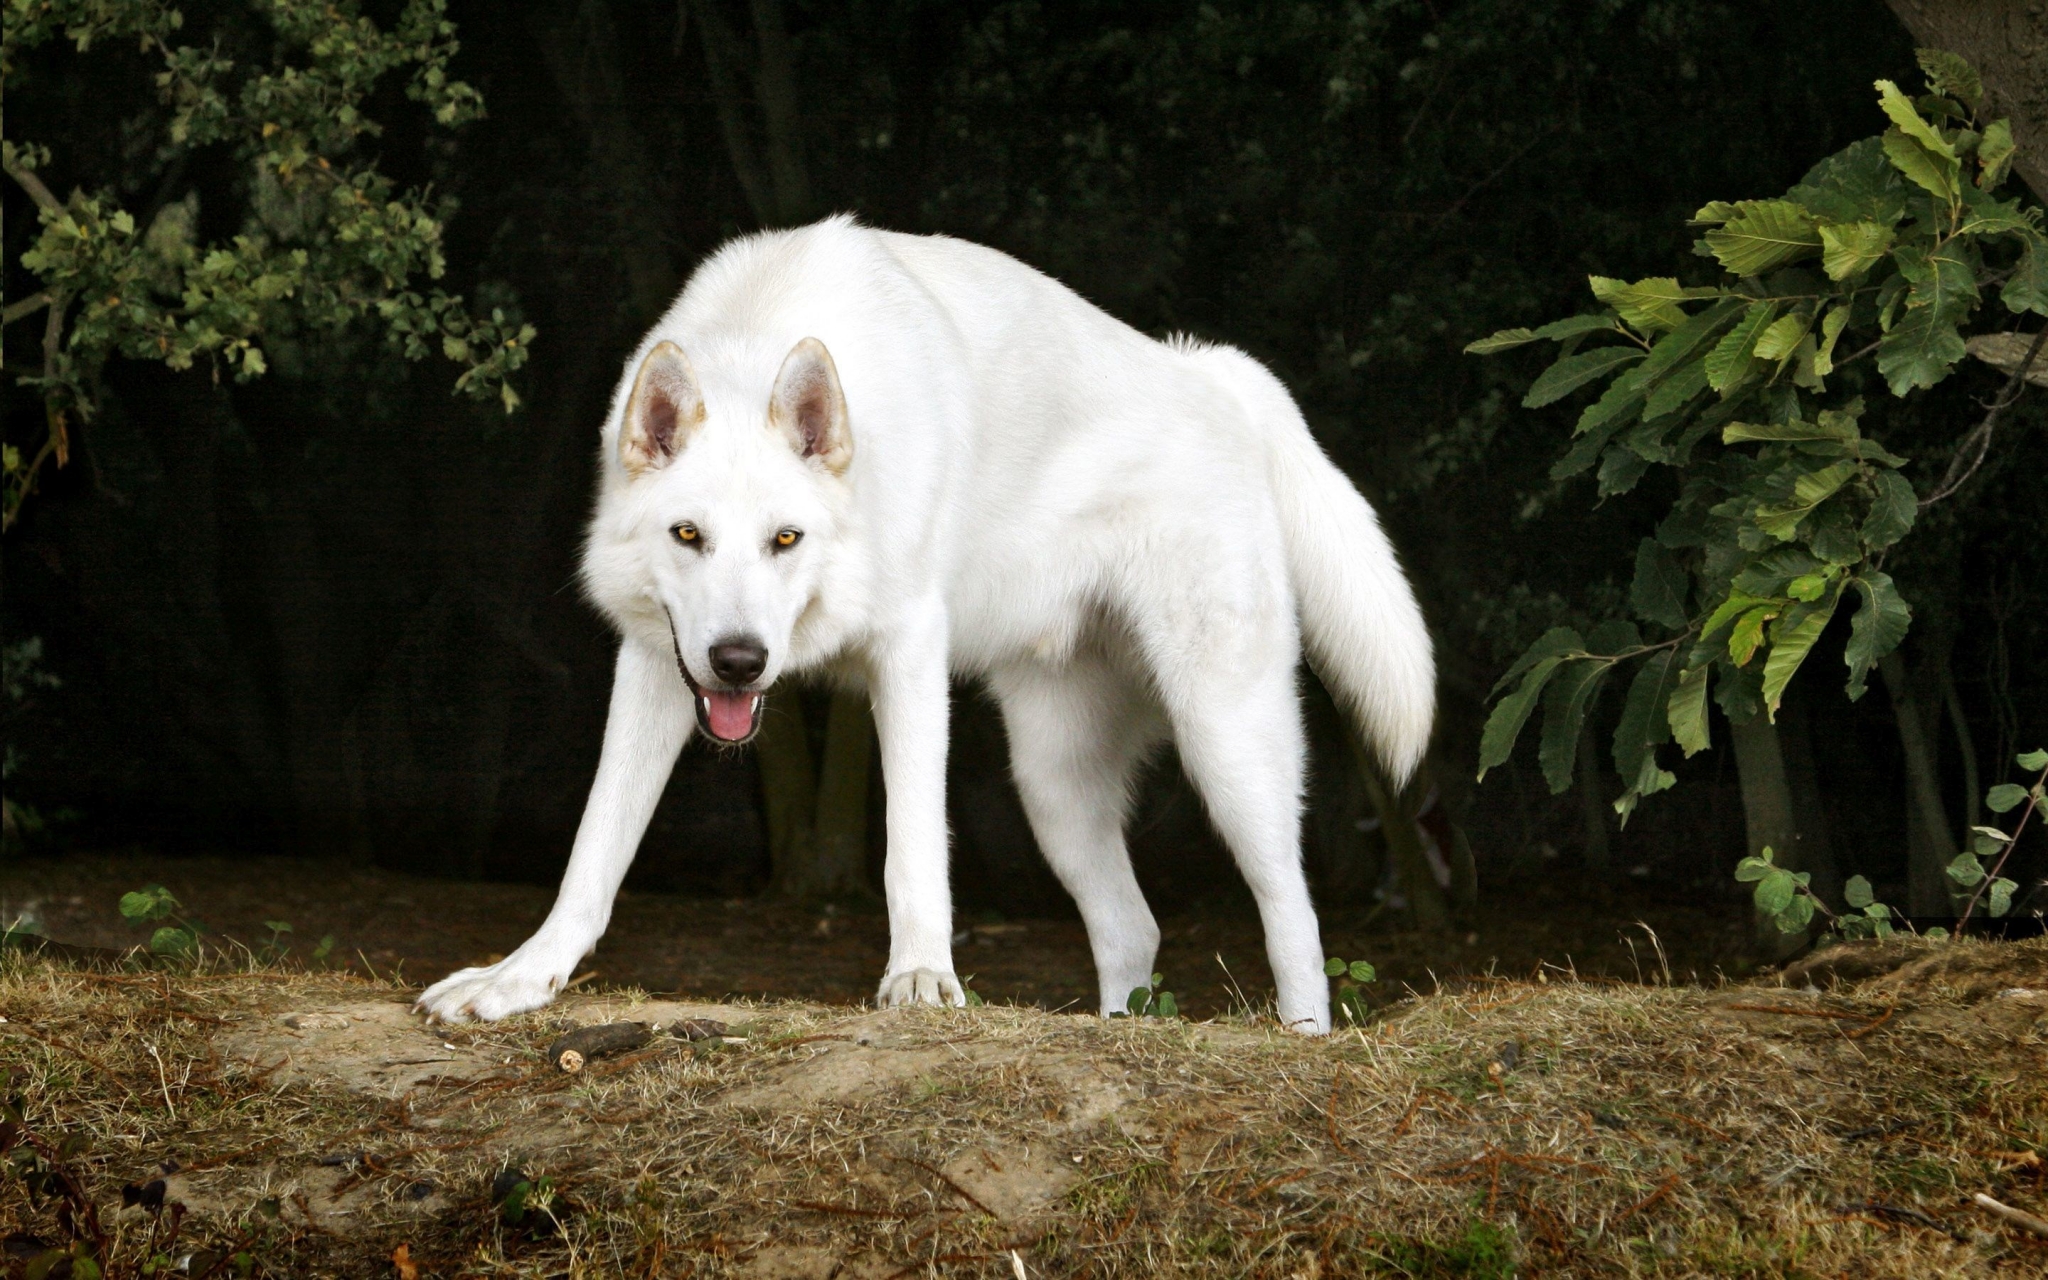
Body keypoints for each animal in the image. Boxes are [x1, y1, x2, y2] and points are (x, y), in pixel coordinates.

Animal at [415, 216, 1434, 1034]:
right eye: (688, 535)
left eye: (785, 539)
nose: (741, 662)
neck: (762, 334)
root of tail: (1213, 372)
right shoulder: (657, 664)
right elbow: (594, 851)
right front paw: (519, 980)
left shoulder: (907, 652)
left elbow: (912, 849)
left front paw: (920, 982)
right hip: (1054, 789)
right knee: (1132, 929)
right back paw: (1119, 1033)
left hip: (1227, 749)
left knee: (1295, 916)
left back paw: (1302, 1038)